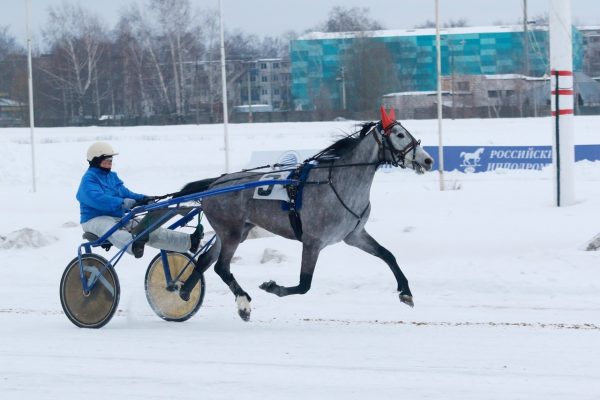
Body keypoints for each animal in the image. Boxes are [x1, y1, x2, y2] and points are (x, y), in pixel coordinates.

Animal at [178, 109, 432, 322]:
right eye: (399, 134)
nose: (428, 160)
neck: (338, 183)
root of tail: (214, 184)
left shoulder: (354, 235)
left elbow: (388, 255)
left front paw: (406, 292)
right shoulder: (312, 242)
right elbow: (304, 285)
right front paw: (272, 286)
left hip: (234, 232)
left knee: (205, 260)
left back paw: (183, 291)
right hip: (230, 232)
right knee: (221, 267)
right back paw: (243, 304)